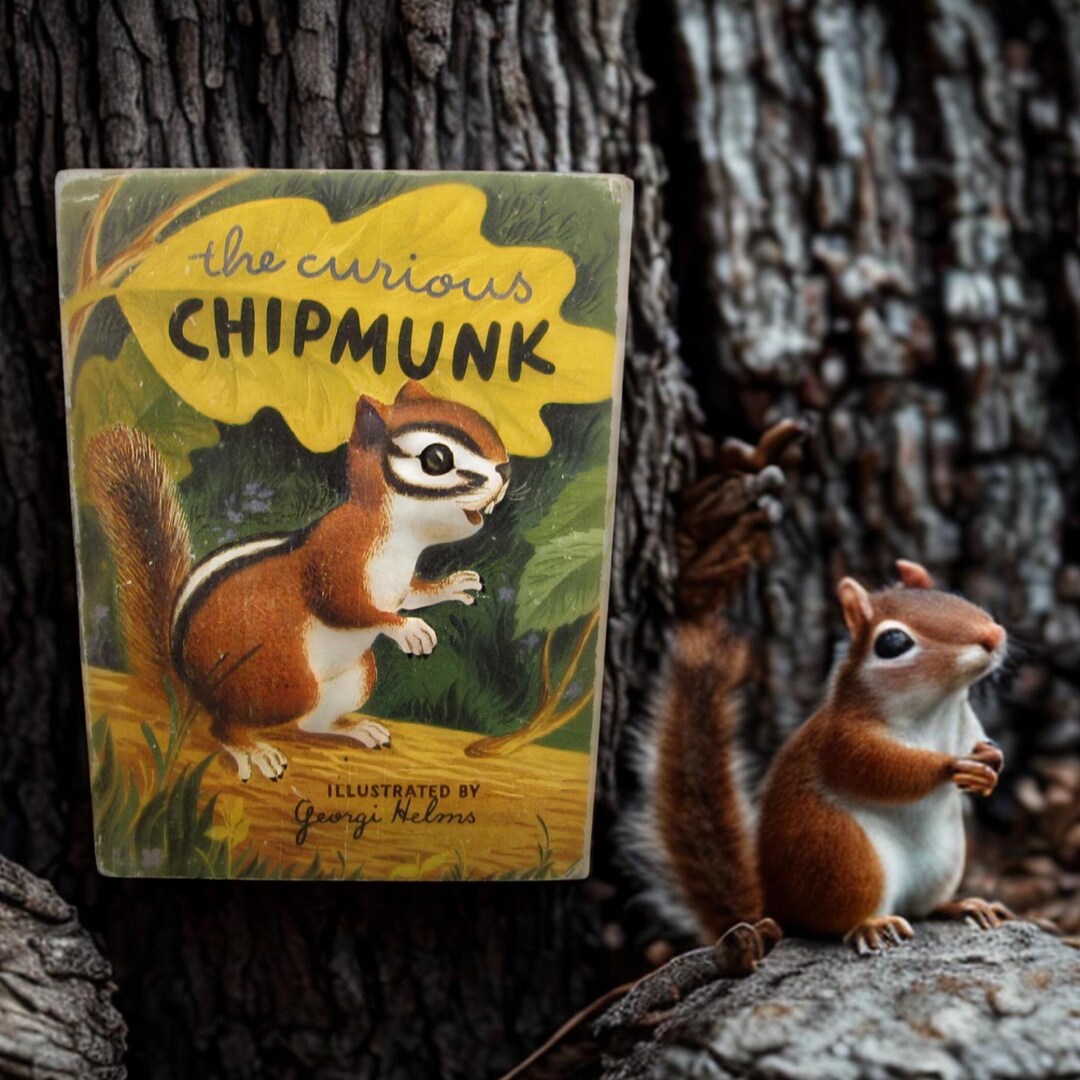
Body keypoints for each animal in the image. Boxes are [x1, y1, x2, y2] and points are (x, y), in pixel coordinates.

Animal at [85, 380, 509, 782]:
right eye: (437, 459)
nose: (505, 471)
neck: (399, 535)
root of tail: (190, 687)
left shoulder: (398, 584)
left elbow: (412, 595)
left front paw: (453, 585)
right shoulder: (334, 560)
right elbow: (346, 607)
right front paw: (407, 629)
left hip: (358, 674)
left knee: (310, 723)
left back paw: (353, 730)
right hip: (281, 683)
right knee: (223, 725)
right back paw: (249, 750)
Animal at [627, 546, 1013, 953]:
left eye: (952, 594)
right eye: (893, 643)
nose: (993, 634)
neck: (939, 707)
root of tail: (776, 911)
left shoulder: (966, 725)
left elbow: (982, 747)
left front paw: (991, 765)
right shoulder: (843, 741)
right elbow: (884, 771)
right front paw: (951, 765)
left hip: (944, 861)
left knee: (924, 906)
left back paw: (965, 905)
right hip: (843, 855)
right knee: (839, 919)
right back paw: (871, 925)